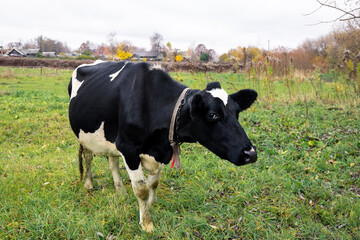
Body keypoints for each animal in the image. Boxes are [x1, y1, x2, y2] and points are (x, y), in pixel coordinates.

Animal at [67, 61, 258, 232]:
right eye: (212, 115)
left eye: (237, 112)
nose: (251, 153)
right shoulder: (128, 148)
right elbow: (141, 189)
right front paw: (147, 223)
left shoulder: (161, 151)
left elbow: (154, 183)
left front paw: (152, 204)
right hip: (83, 136)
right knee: (88, 157)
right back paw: (89, 184)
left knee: (112, 161)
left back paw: (120, 191)